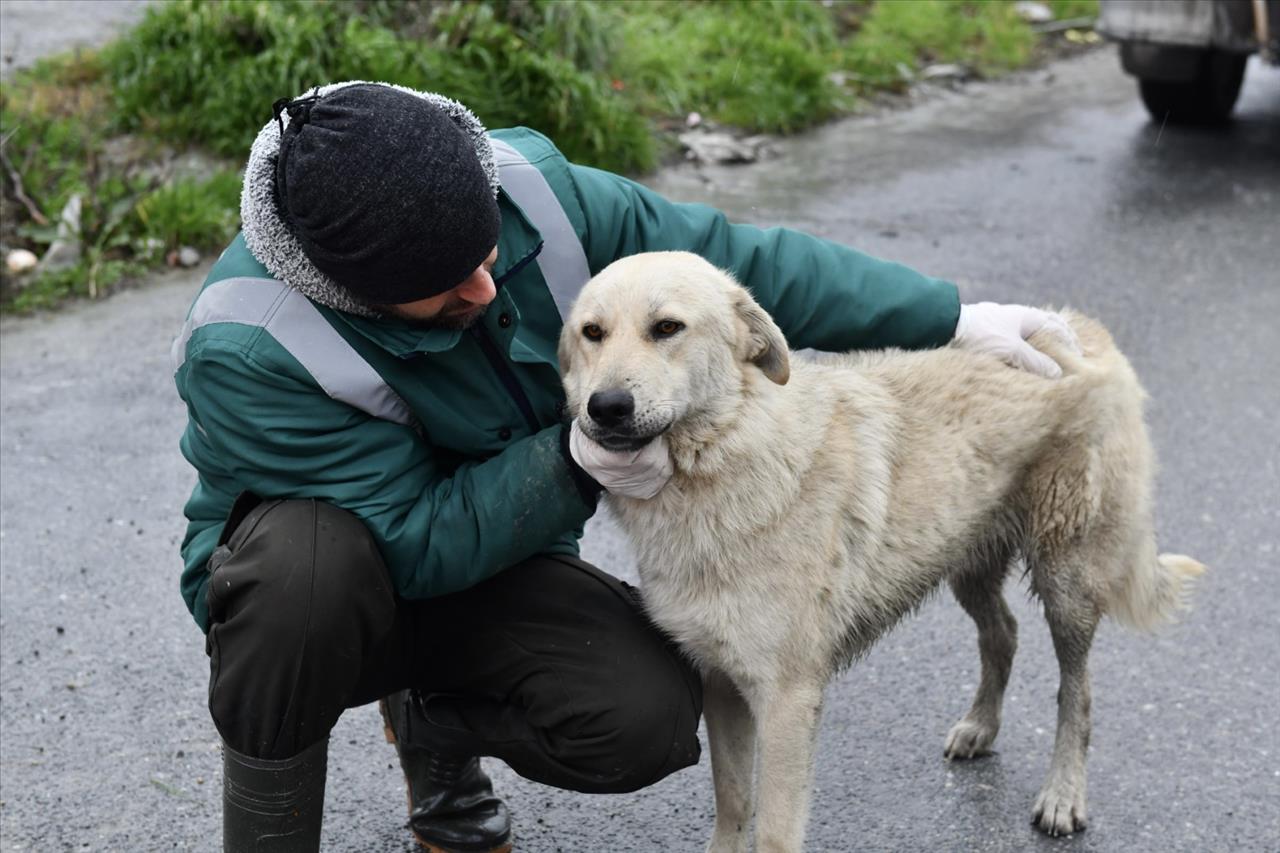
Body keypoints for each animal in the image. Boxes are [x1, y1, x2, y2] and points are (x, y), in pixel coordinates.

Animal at [558, 252, 1198, 850]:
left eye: (667, 327)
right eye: (593, 333)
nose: (606, 407)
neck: (728, 454)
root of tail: (1084, 331)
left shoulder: (787, 701)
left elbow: (774, 831)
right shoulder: (721, 681)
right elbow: (734, 804)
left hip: (1067, 581)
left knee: (1077, 692)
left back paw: (1064, 794)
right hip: (965, 557)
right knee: (1003, 634)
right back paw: (981, 726)